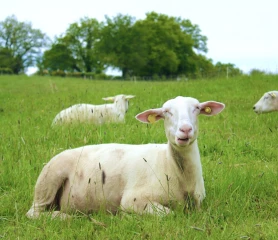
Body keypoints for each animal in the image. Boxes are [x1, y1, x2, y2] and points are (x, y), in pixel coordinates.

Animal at [26, 95, 226, 218]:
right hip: (48, 182)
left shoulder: (199, 203)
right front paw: (123, 216)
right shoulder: (132, 200)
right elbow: (169, 213)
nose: (185, 130)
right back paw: (63, 216)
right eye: (166, 112)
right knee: (34, 213)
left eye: (197, 108)